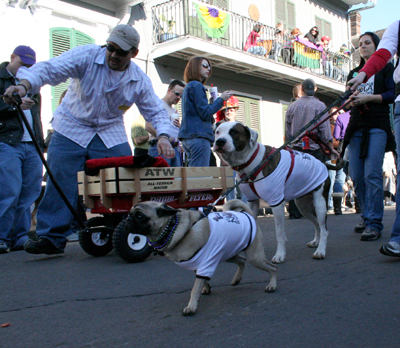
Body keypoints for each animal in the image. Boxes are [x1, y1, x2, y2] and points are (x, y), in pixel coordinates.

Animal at [125, 198, 278, 316]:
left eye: (140, 216)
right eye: (130, 214)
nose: (127, 219)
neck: (173, 228)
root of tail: (247, 214)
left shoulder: (205, 264)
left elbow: (195, 288)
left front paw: (191, 307)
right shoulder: (196, 263)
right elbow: (201, 281)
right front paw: (206, 288)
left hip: (254, 257)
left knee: (272, 268)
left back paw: (272, 285)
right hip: (227, 253)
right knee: (242, 261)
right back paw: (237, 279)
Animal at [214, 122, 330, 264]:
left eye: (234, 132)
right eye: (218, 132)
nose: (219, 141)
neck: (252, 162)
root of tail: (323, 164)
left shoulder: (277, 204)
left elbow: (279, 233)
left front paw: (280, 254)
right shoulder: (252, 201)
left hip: (320, 204)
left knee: (324, 228)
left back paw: (320, 251)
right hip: (303, 206)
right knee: (317, 224)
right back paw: (316, 242)